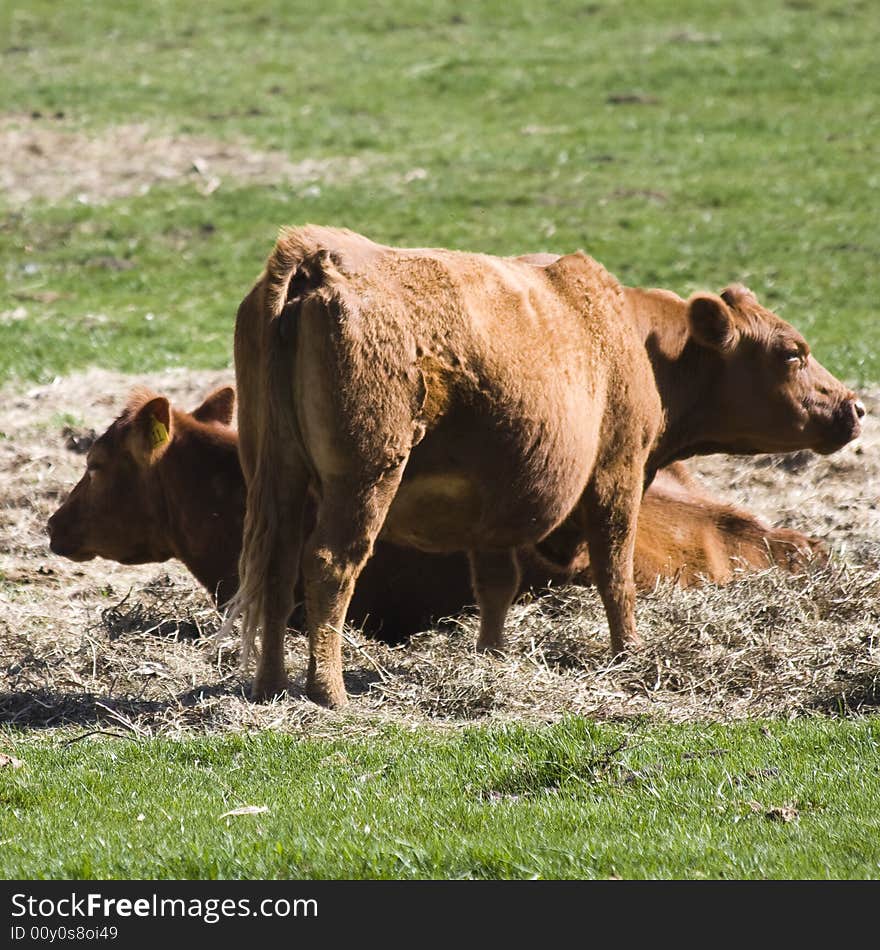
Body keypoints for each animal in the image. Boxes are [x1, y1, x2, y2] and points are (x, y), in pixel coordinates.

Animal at [223, 227, 864, 712]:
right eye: (791, 352)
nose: (854, 407)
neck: (630, 335)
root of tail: (316, 260)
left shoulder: (496, 507)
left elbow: (496, 585)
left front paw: (491, 659)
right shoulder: (617, 474)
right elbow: (615, 573)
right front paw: (629, 651)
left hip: (277, 478)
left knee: (276, 569)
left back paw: (271, 685)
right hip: (364, 478)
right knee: (330, 565)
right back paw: (328, 691)